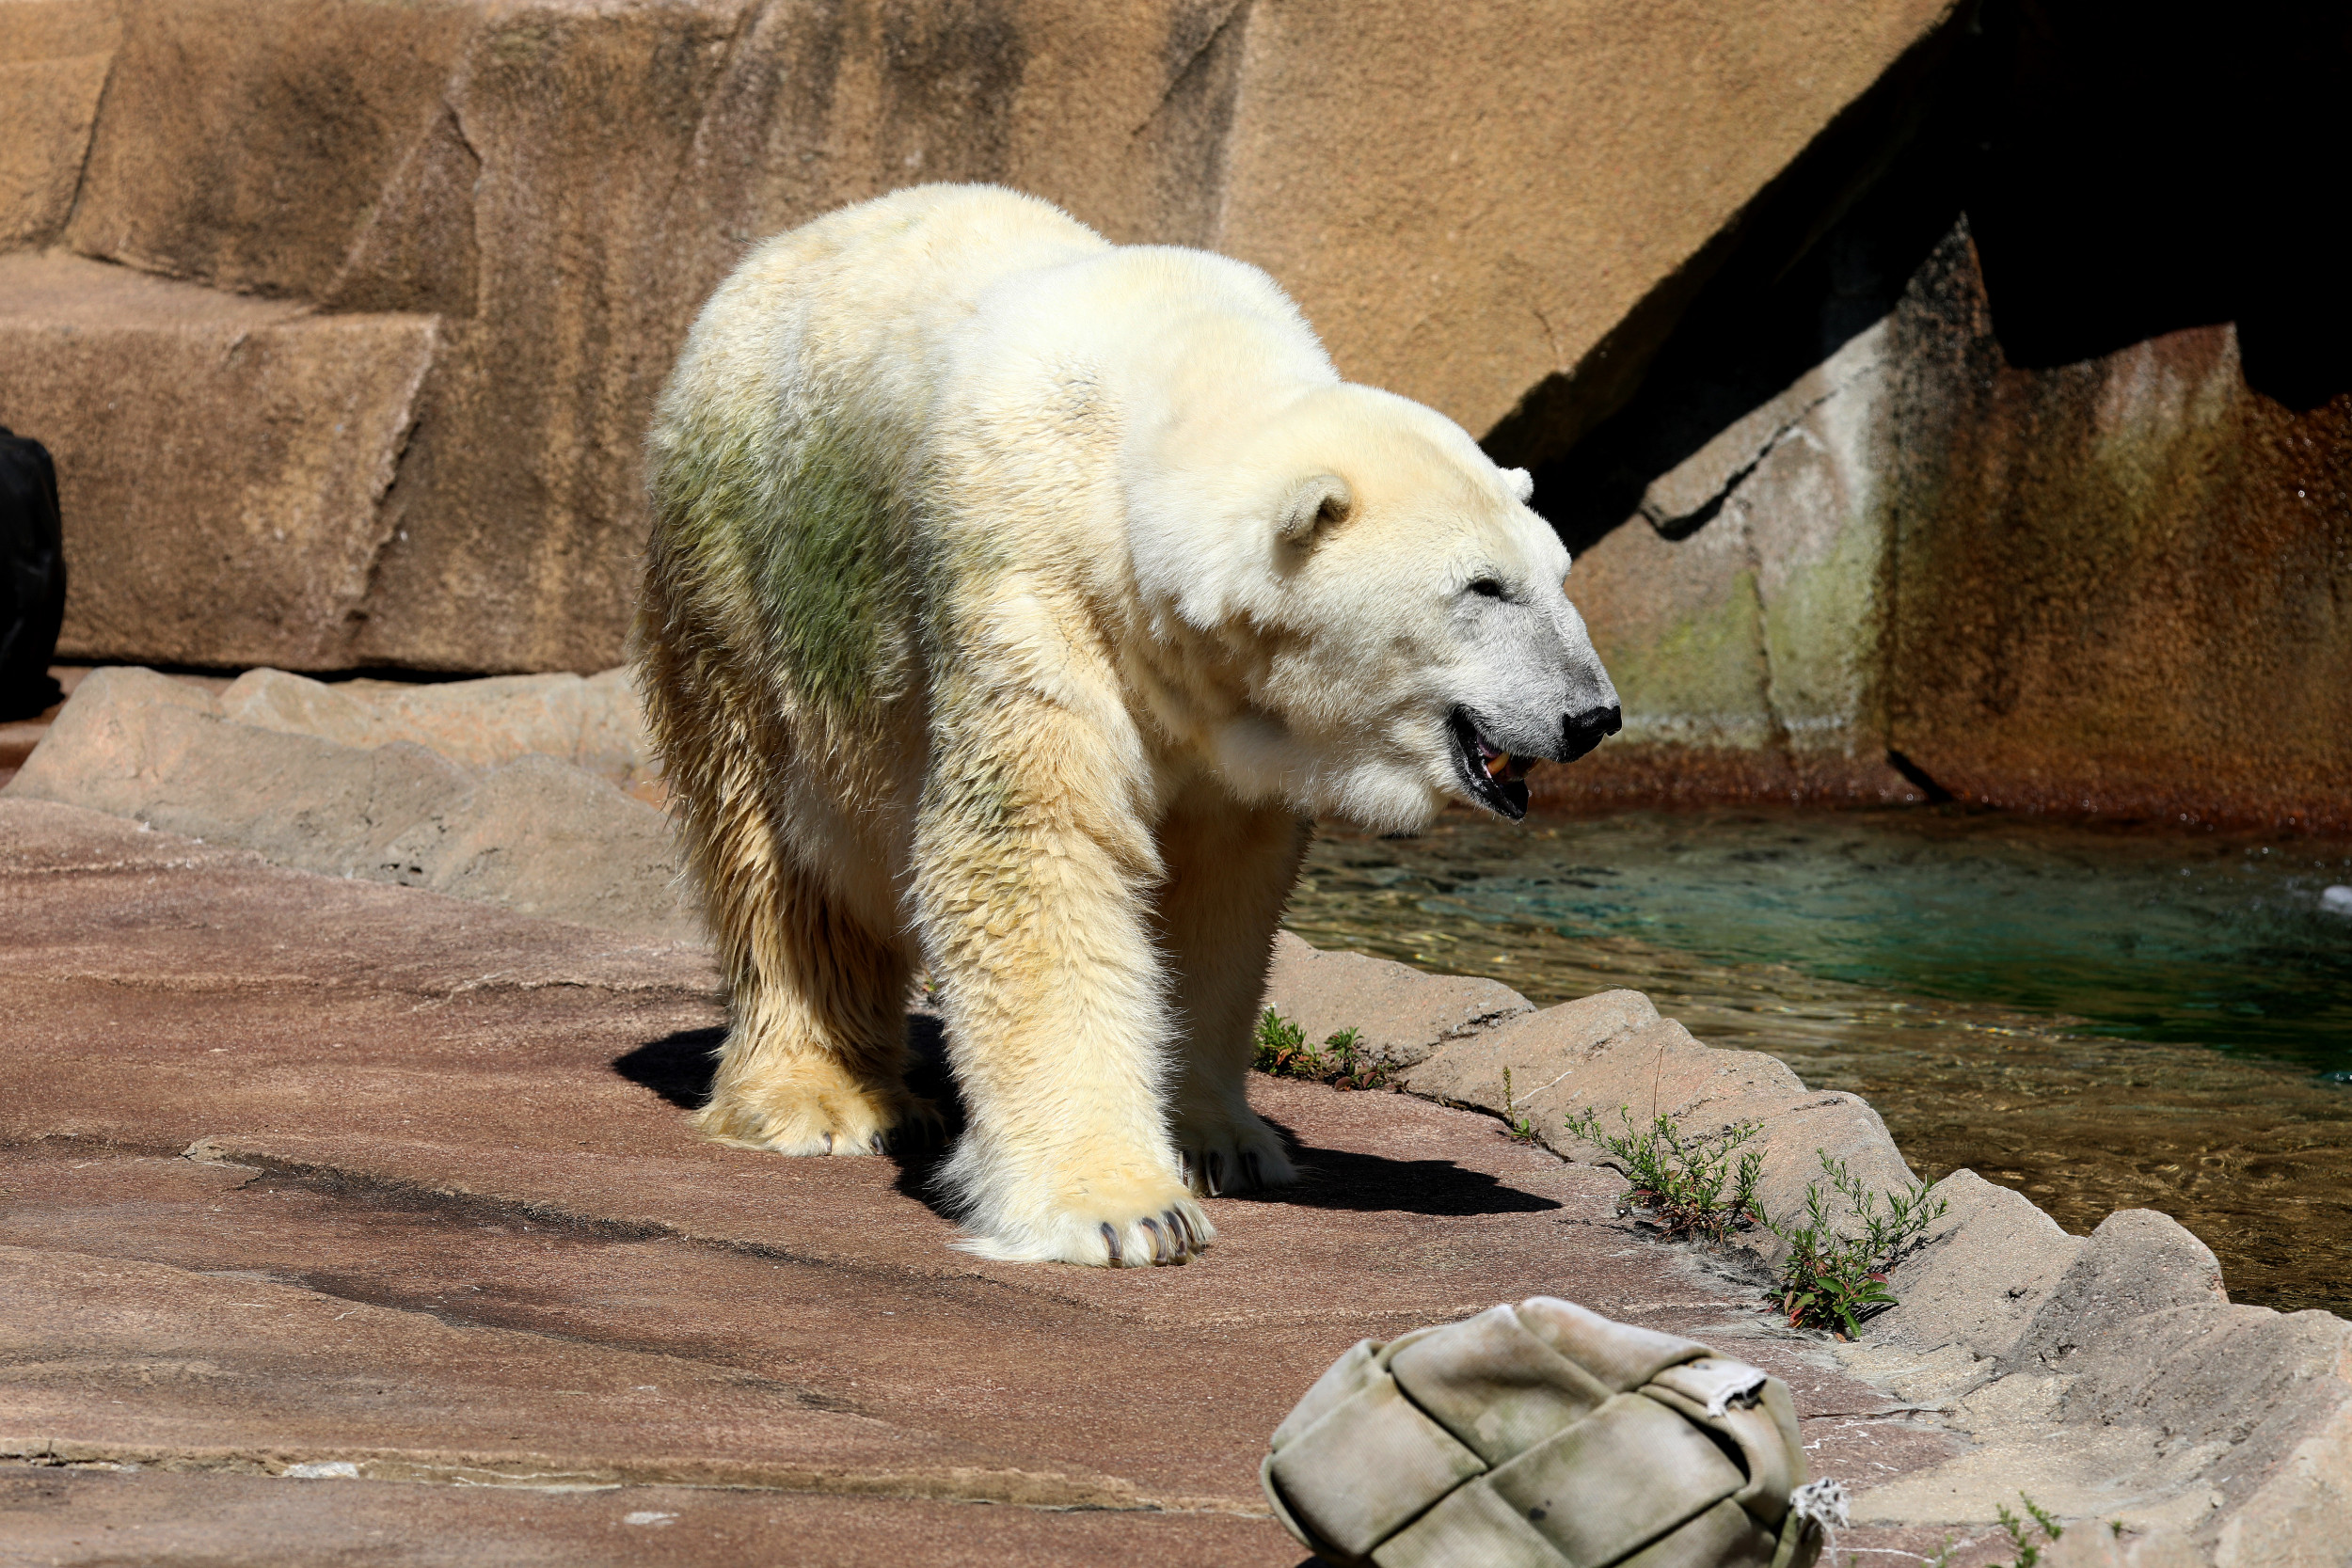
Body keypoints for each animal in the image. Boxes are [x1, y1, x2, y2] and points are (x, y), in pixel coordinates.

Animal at [636, 184, 1620, 1267]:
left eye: (1558, 573)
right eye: (1482, 587)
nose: (1593, 714)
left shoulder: (1223, 716)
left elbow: (1219, 891)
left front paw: (1219, 1142)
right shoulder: (1029, 586)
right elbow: (1032, 848)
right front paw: (1126, 1209)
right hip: (742, 573)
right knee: (777, 840)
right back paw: (816, 1096)